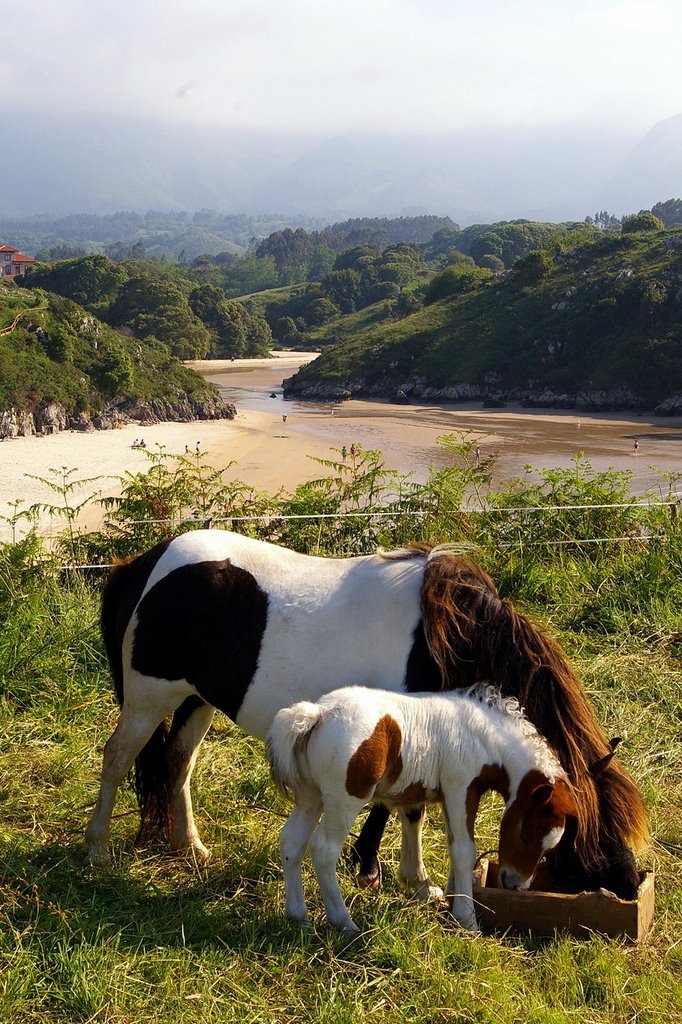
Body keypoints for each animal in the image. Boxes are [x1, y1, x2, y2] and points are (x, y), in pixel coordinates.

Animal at [87, 532, 647, 901]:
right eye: (588, 822)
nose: (630, 881)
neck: (448, 638)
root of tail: (144, 564)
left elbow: (408, 806)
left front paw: (405, 877)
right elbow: (396, 807)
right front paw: (380, 872)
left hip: (196, 699)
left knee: (177, 762)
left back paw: (190, 846)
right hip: (148, 699)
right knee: (117, 759)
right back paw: (98, 849)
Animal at [266, 684, 573, 933]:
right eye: (524, 836)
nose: (516, 884)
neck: (480, 738)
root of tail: (318, 713)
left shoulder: (444, 797)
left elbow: (450, 843)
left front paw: (448, 897)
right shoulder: (460, 788)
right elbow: (464, 850)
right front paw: (467, 919)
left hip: (311, 796)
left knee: (292, 843)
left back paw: (298, 916)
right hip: (344, 800)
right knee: (324, 850)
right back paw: (344, 922)